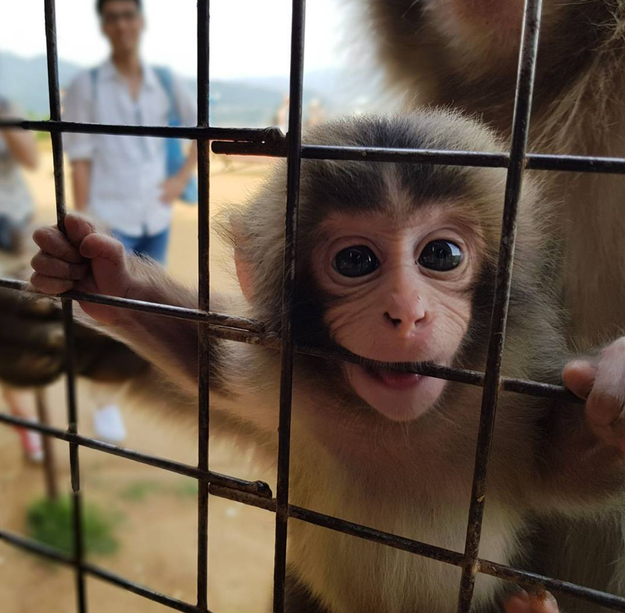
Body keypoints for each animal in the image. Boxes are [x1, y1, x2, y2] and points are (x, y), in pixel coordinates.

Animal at [30, 111, 625, 612]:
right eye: (356, 260)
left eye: (442, 255)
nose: (407, 312)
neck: (393, 425)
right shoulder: (280, 384)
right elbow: (206, 364)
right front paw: (103, 277)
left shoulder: (506, 406)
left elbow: (569, 469)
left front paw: (616, 385)